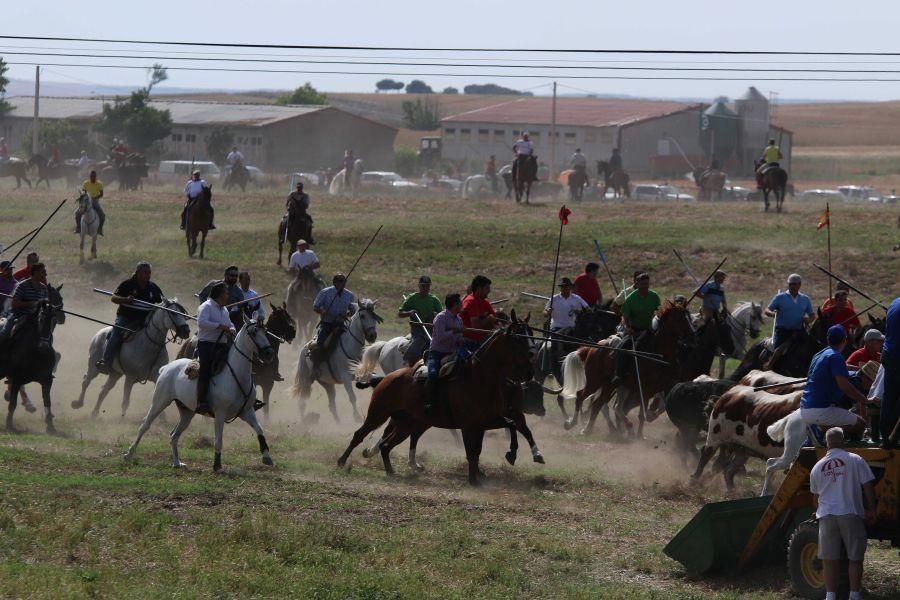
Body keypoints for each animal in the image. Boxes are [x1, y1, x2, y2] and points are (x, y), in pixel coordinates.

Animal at [0, 296, 63, 432]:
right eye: (40, 319)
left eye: (54, 321)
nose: (44, 347)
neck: (36, 352)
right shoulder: (17, 379)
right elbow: (13, 403)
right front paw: (9, 425)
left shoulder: (47, 380)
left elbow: (47, 402)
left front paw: (50, 426)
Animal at [123, 314, 276, 474]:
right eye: (253, 332)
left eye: (265, 331)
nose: (269, 353)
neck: (236, 375)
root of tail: (167, 368)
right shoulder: (220, 414)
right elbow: (218, 440)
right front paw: (217, 466)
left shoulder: (247, 411)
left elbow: (259, 429)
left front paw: (267, 457)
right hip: (159, 402)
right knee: (145, 425)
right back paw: (129, 454)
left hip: (187, 413)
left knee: (174, 436)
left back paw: (177, 463)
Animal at [338, 312, 536, 486]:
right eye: (518, 340)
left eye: (531, 336)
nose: (529, 372)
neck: (478, 376)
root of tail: (385, 379)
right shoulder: (468, 425)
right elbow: (471, 452)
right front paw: (473, 480)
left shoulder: (485, 422)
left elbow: (509, 427)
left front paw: (510, 455)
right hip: (379, 413)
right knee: (360, 434)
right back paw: (342, 460)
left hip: (406, 423)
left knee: (386, 445)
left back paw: (391, 471)